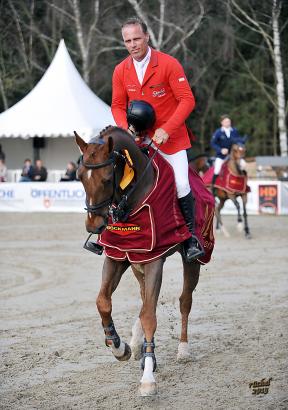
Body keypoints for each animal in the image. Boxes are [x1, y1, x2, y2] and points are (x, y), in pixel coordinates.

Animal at [75, 127, 207, 398]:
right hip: (136, 264)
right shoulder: (118, 256)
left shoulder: (154, 260)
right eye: (80, 177)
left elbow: (150, 316)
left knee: (183, 301)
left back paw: (183, 350)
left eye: (107, 179)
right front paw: (119, 346)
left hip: (191, 262)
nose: (94, 226)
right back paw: (136, 344)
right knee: (145, 298)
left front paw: (148, 377)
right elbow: (103, 302)